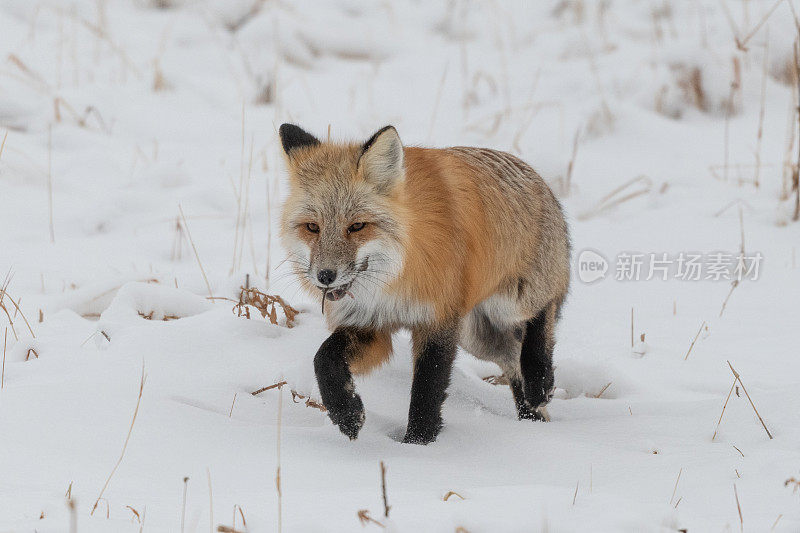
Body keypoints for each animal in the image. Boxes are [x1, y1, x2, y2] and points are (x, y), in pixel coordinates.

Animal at [280, 122, 568, 442]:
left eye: (357, 226)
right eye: (312, 227)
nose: (325, 276)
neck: (393, 280)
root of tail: (539, 180)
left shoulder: (438, 320)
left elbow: (427, 390)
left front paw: (418, 443)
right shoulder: (370, 323)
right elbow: (324, 359)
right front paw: (347, 414)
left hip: (510, 305)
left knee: (542, 315)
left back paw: (539, 380)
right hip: (478, 338)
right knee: (511, 360)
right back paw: (531, 419)